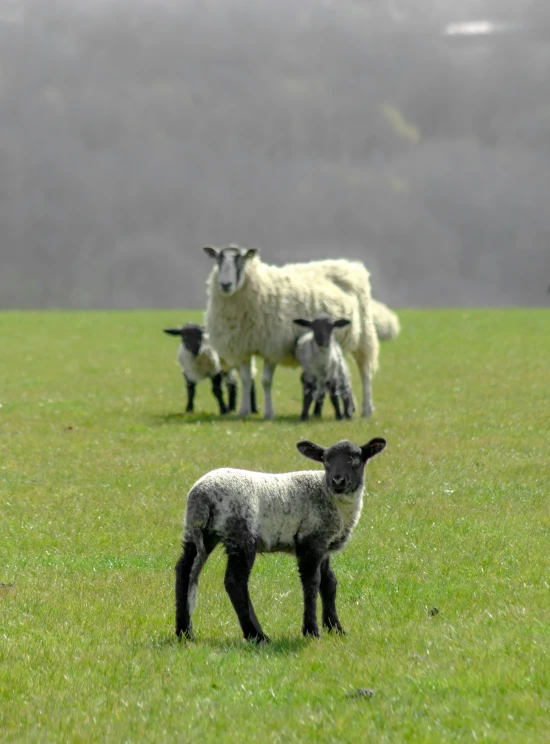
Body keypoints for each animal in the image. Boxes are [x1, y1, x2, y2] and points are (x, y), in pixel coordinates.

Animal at [176, 438, 388, 644]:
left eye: (355, 459)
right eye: (326, 460)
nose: (337, 480)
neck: (329, 495)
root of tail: (202, 496)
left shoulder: (324, 543)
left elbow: (329, 583)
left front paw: (336, 629)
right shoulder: (310, 540)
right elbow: (312, 583)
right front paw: (312, 631)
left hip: (198, 533)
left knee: (183, 571)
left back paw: (184, 632)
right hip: (240, 533)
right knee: (234, 582)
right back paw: (257, 635)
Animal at [205, 244, 382, 418]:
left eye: (241, 261)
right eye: (218, 260)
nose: (225, 285)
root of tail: (352, 266)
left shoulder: (273, 347)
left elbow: (266, 381)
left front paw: (268, 414)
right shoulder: (241, 346)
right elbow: (246, 379)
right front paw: (243, 411)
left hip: (364, 336)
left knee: (365, 372)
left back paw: (367, 409)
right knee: (345, 374)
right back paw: (349, 408)